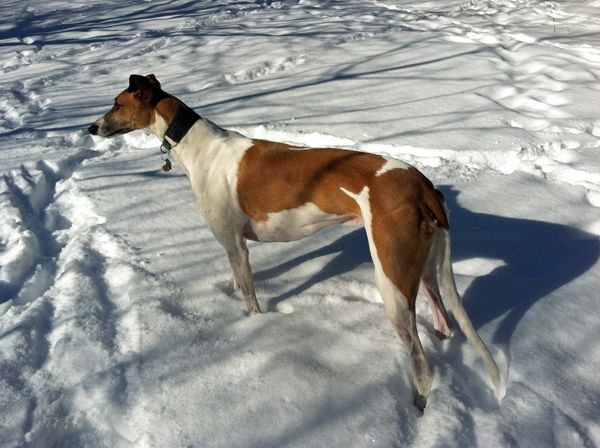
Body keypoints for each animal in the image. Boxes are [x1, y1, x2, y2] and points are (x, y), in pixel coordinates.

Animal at [90, 73, 502, 410]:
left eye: (116, 103)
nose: (90, 128)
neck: (197, 144)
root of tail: (422, 184)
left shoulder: (237, 245)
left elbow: (251, 298)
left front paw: (249, 326)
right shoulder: (233, 244)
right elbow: (235, 280)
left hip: (392, 282)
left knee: (422, 366)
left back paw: (417, 406)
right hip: (426, 268)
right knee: (444, 324)